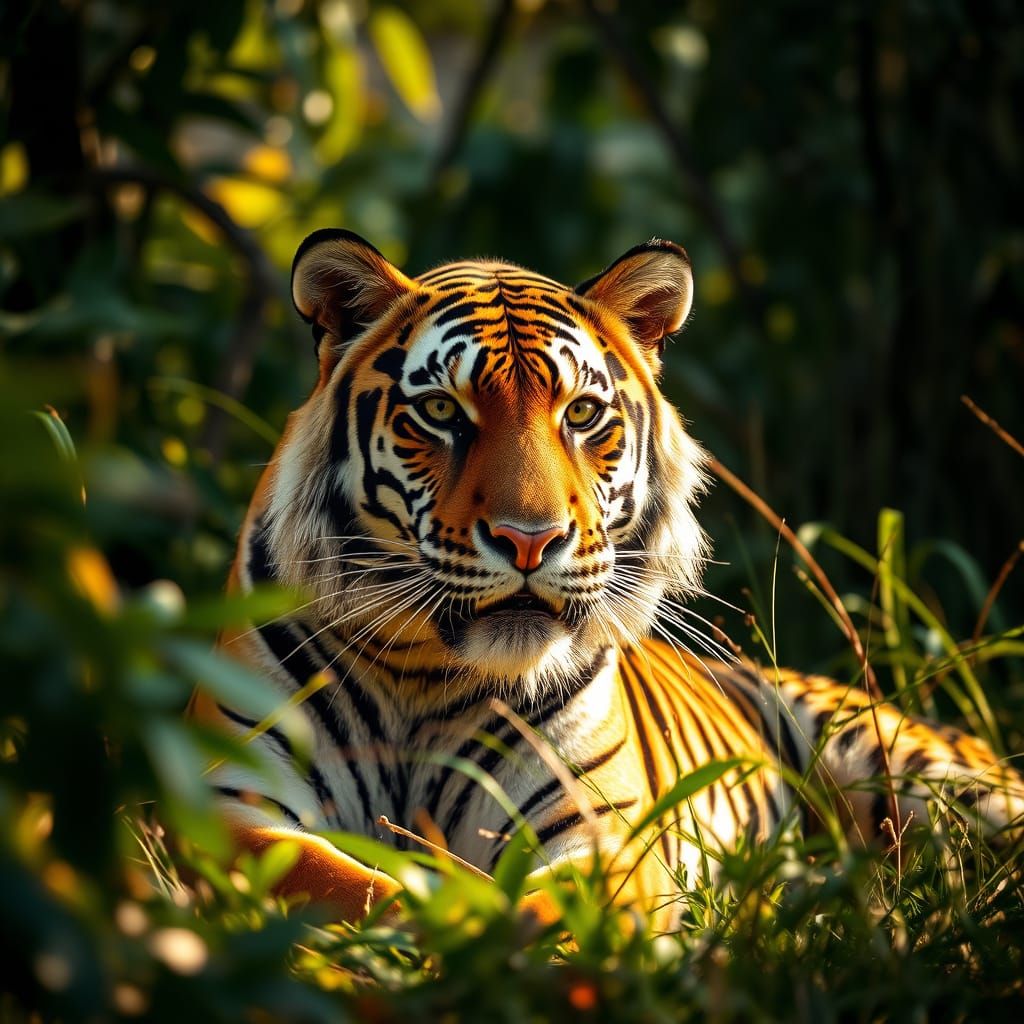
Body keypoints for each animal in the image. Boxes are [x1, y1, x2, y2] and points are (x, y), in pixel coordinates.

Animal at [189, 229, 1024, 930]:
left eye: (583, 413)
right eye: (442, 412)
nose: (531, 541)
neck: (420, 675)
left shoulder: (597, 830)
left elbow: (543, 913)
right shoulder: (227, 801)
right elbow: (348, 883)